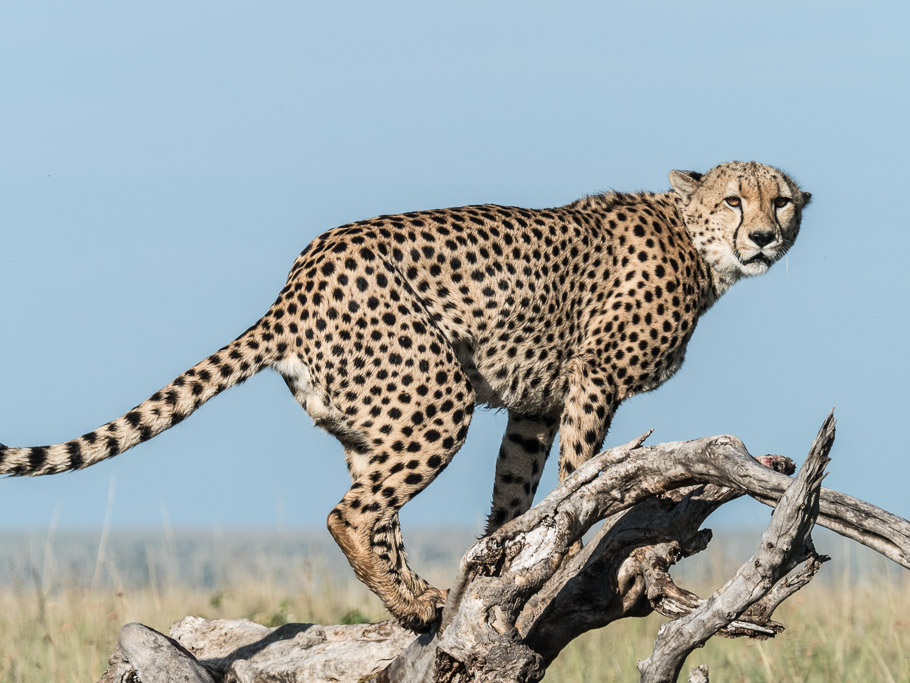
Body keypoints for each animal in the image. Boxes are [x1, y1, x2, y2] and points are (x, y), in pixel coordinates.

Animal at [0, 161, 810, 631]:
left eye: (781, 203)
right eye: (734, 201)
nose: (765, 237)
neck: (696, 247)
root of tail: (295, 283)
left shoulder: (536, 403)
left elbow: (517, 489)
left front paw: (503, 560)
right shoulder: (594, 378)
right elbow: (585, 474)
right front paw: (580, 556)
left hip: (377, 417)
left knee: (376, 508)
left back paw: (416, 600)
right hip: (438, 396)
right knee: (349, 514)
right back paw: (414, 599)